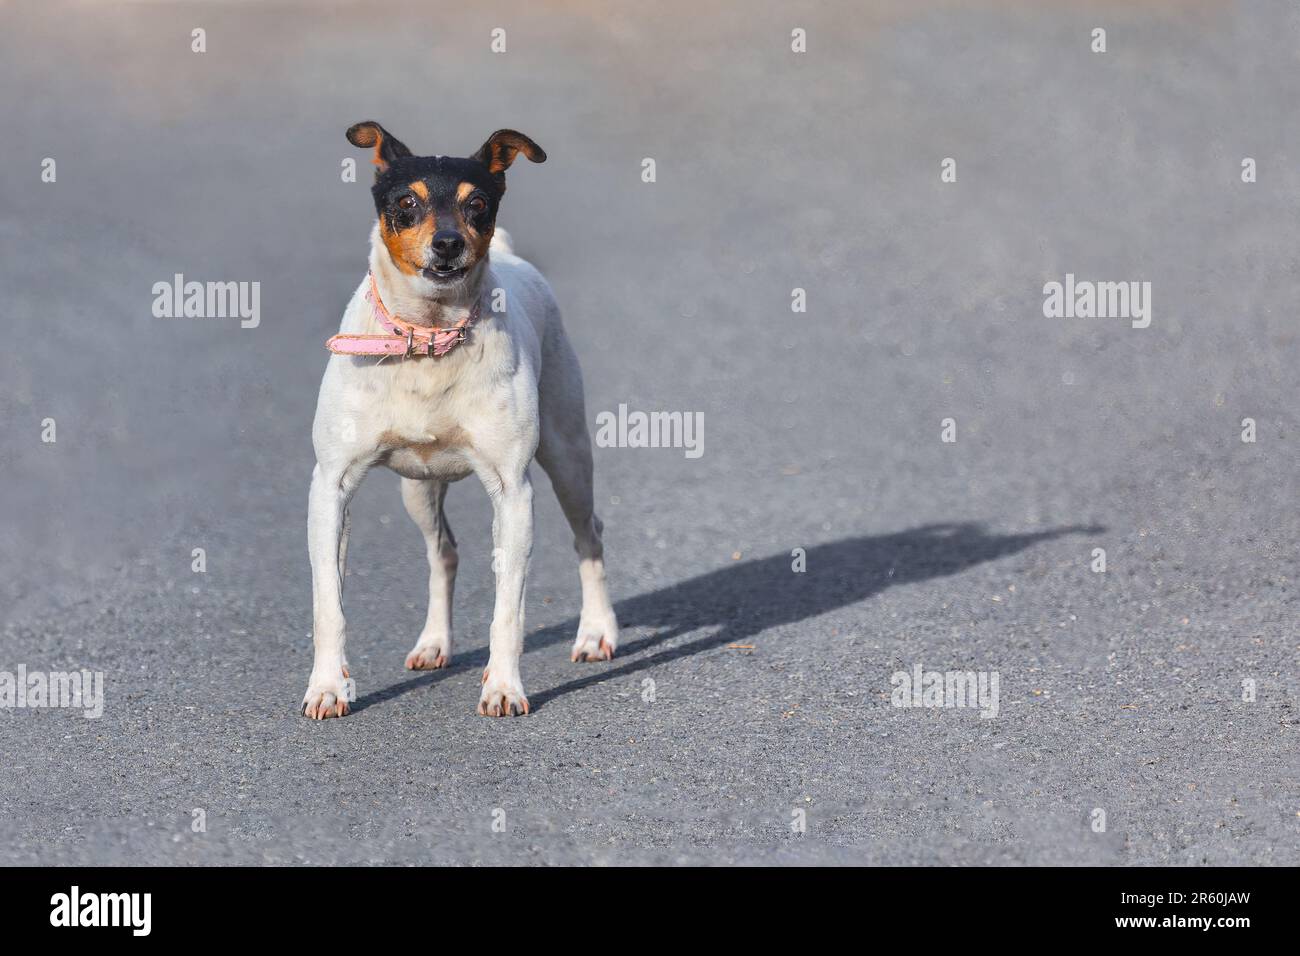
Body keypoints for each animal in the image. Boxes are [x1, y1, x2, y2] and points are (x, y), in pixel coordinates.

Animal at [301, 121, 616, 717]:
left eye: (479, 205)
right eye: (407, 203)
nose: (447, 243)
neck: (428, 337)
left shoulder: (513, 493)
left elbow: (508, 611)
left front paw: (504, 687)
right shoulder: (332, 486)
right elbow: (329, 602)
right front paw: (328, 687)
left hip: (567, 456)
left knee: (588, 535)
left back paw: (596, 633)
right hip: (417, 489)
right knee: (442, 551)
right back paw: (433, 643)